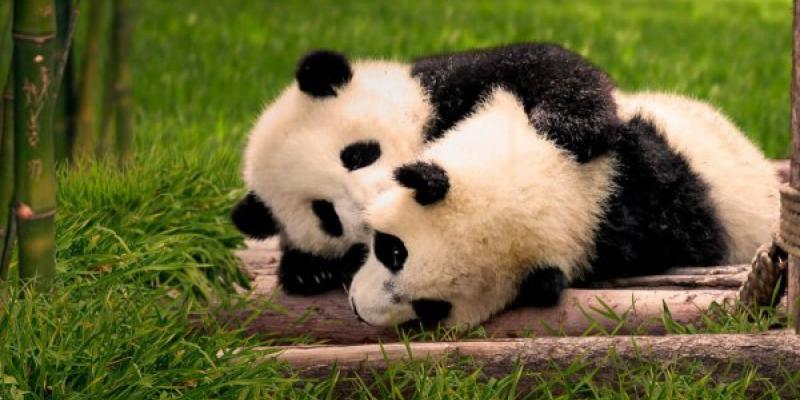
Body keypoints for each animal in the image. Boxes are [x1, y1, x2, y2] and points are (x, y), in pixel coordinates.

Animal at [232, 43, 620, 295]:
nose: (374, 204)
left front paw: (564, 126)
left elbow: (541, 64)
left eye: (357, 155)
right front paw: (307, 272)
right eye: (325, 213)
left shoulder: (443, 85)